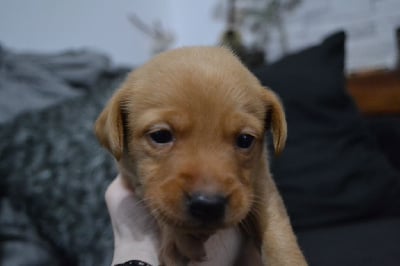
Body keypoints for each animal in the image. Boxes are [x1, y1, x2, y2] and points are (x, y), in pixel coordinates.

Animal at [95, 46, 308, 264]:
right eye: (160, 135)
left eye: (245, 139)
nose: (208, 205)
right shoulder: (131, 178)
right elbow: (154, 200)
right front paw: (178, 236)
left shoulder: (261, 180)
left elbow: (277, 231)